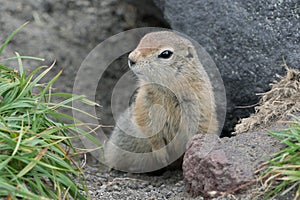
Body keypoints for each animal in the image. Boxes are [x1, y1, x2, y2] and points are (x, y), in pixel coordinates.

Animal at [104, 30, 217, 172]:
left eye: (166, 54)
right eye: (142, 40)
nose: (131, 59)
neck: (167, 90)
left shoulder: (198, 105)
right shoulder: (144, 102)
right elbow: (148, 127)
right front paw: (161, 154)